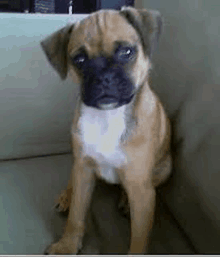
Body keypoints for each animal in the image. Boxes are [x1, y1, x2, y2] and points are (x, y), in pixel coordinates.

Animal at [40, 6, 172, 254]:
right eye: (79, 59)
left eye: (127, 52)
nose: (104, 77)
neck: (108, 117)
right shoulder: (83, 169)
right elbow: (76, 216)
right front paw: (67, 245)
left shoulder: (140, 187)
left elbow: (139, 238)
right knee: (73, 182)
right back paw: (67, 196)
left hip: (164, 169)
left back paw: (125, 201)